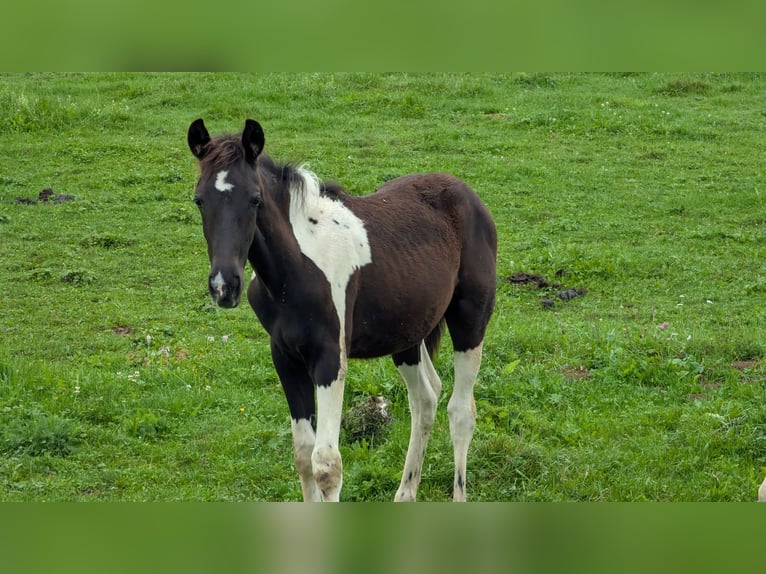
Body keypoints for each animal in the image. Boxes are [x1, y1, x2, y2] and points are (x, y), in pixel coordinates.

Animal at [187, 118, 497, 501]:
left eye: (254, 199)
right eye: (200, 200)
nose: (224, 287)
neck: (295, 270)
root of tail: (468, 194)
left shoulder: (329, 358)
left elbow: (326, 464)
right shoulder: (285, 357)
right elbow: (303, 454)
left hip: (471, 321)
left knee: (461, 411)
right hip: (406, 334)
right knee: (425, 398)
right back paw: (405, 493)